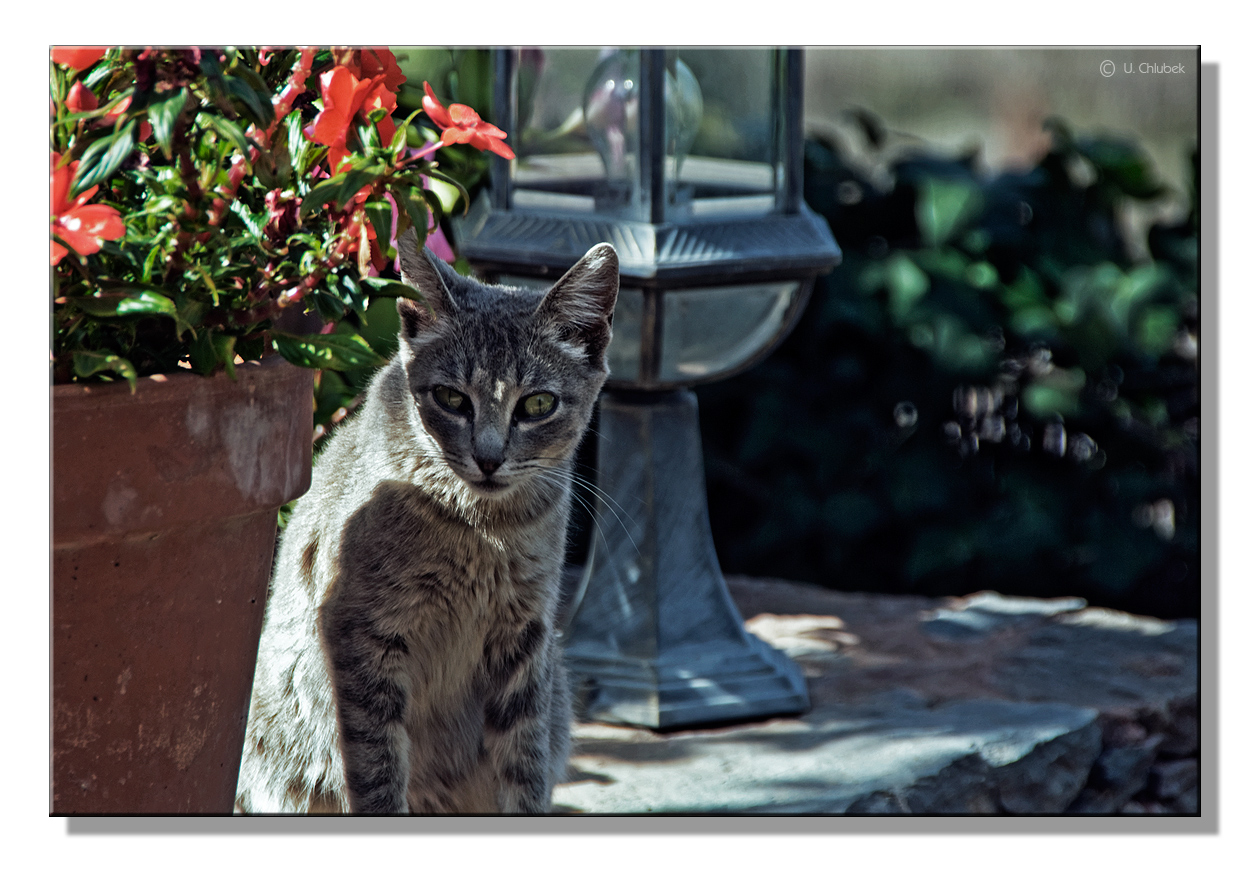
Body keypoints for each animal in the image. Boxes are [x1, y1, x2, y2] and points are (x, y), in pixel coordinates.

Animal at [232, 231, 617, 815]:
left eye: (538, 404)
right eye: (452, 398)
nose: (489, 458)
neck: (485, 532)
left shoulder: (526, 639)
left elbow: (523, 768)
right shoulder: (362, 633)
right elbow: (376, 770)